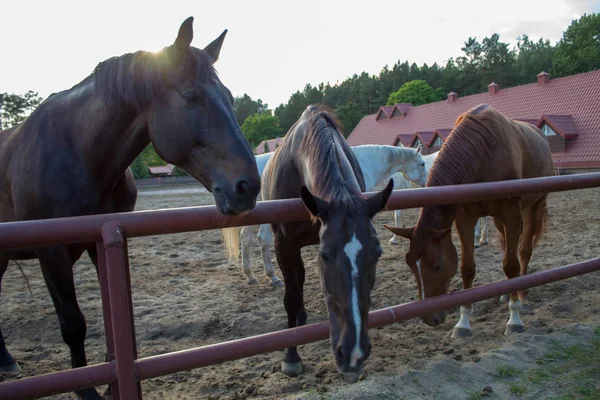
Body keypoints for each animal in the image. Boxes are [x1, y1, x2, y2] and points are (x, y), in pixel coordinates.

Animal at [0, 18, 258, 400]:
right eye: (192, 97)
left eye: (227, 96)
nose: (248, 186)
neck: (76, 153)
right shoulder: (52, 253)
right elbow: (73, 324)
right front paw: (87, 390)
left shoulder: (102, 244)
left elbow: (114, 316)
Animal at [223, 105, 392, 382]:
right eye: (325, 255)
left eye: (377, 253)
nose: (353, 353)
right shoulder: (285, 245)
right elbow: (291, 297)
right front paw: (291, 358)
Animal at [237, 145, 428, 286]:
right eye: (422, 164)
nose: (426, 182)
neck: (367, 161)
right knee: (262, 239)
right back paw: (272, 276)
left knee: (245, 238)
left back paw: (250, 276)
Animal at [384, 104, 552, 338]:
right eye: (410, 264)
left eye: (437, 265)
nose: (429, 319)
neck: (483, 152)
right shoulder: (465, 219)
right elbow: (467, 268)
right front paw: (463, 322)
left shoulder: (511, 214)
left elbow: (511, 265)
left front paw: (514, 318)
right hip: (499, 219)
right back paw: (505, 293)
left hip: (532, 208)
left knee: (524, 251)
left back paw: (522, 294)